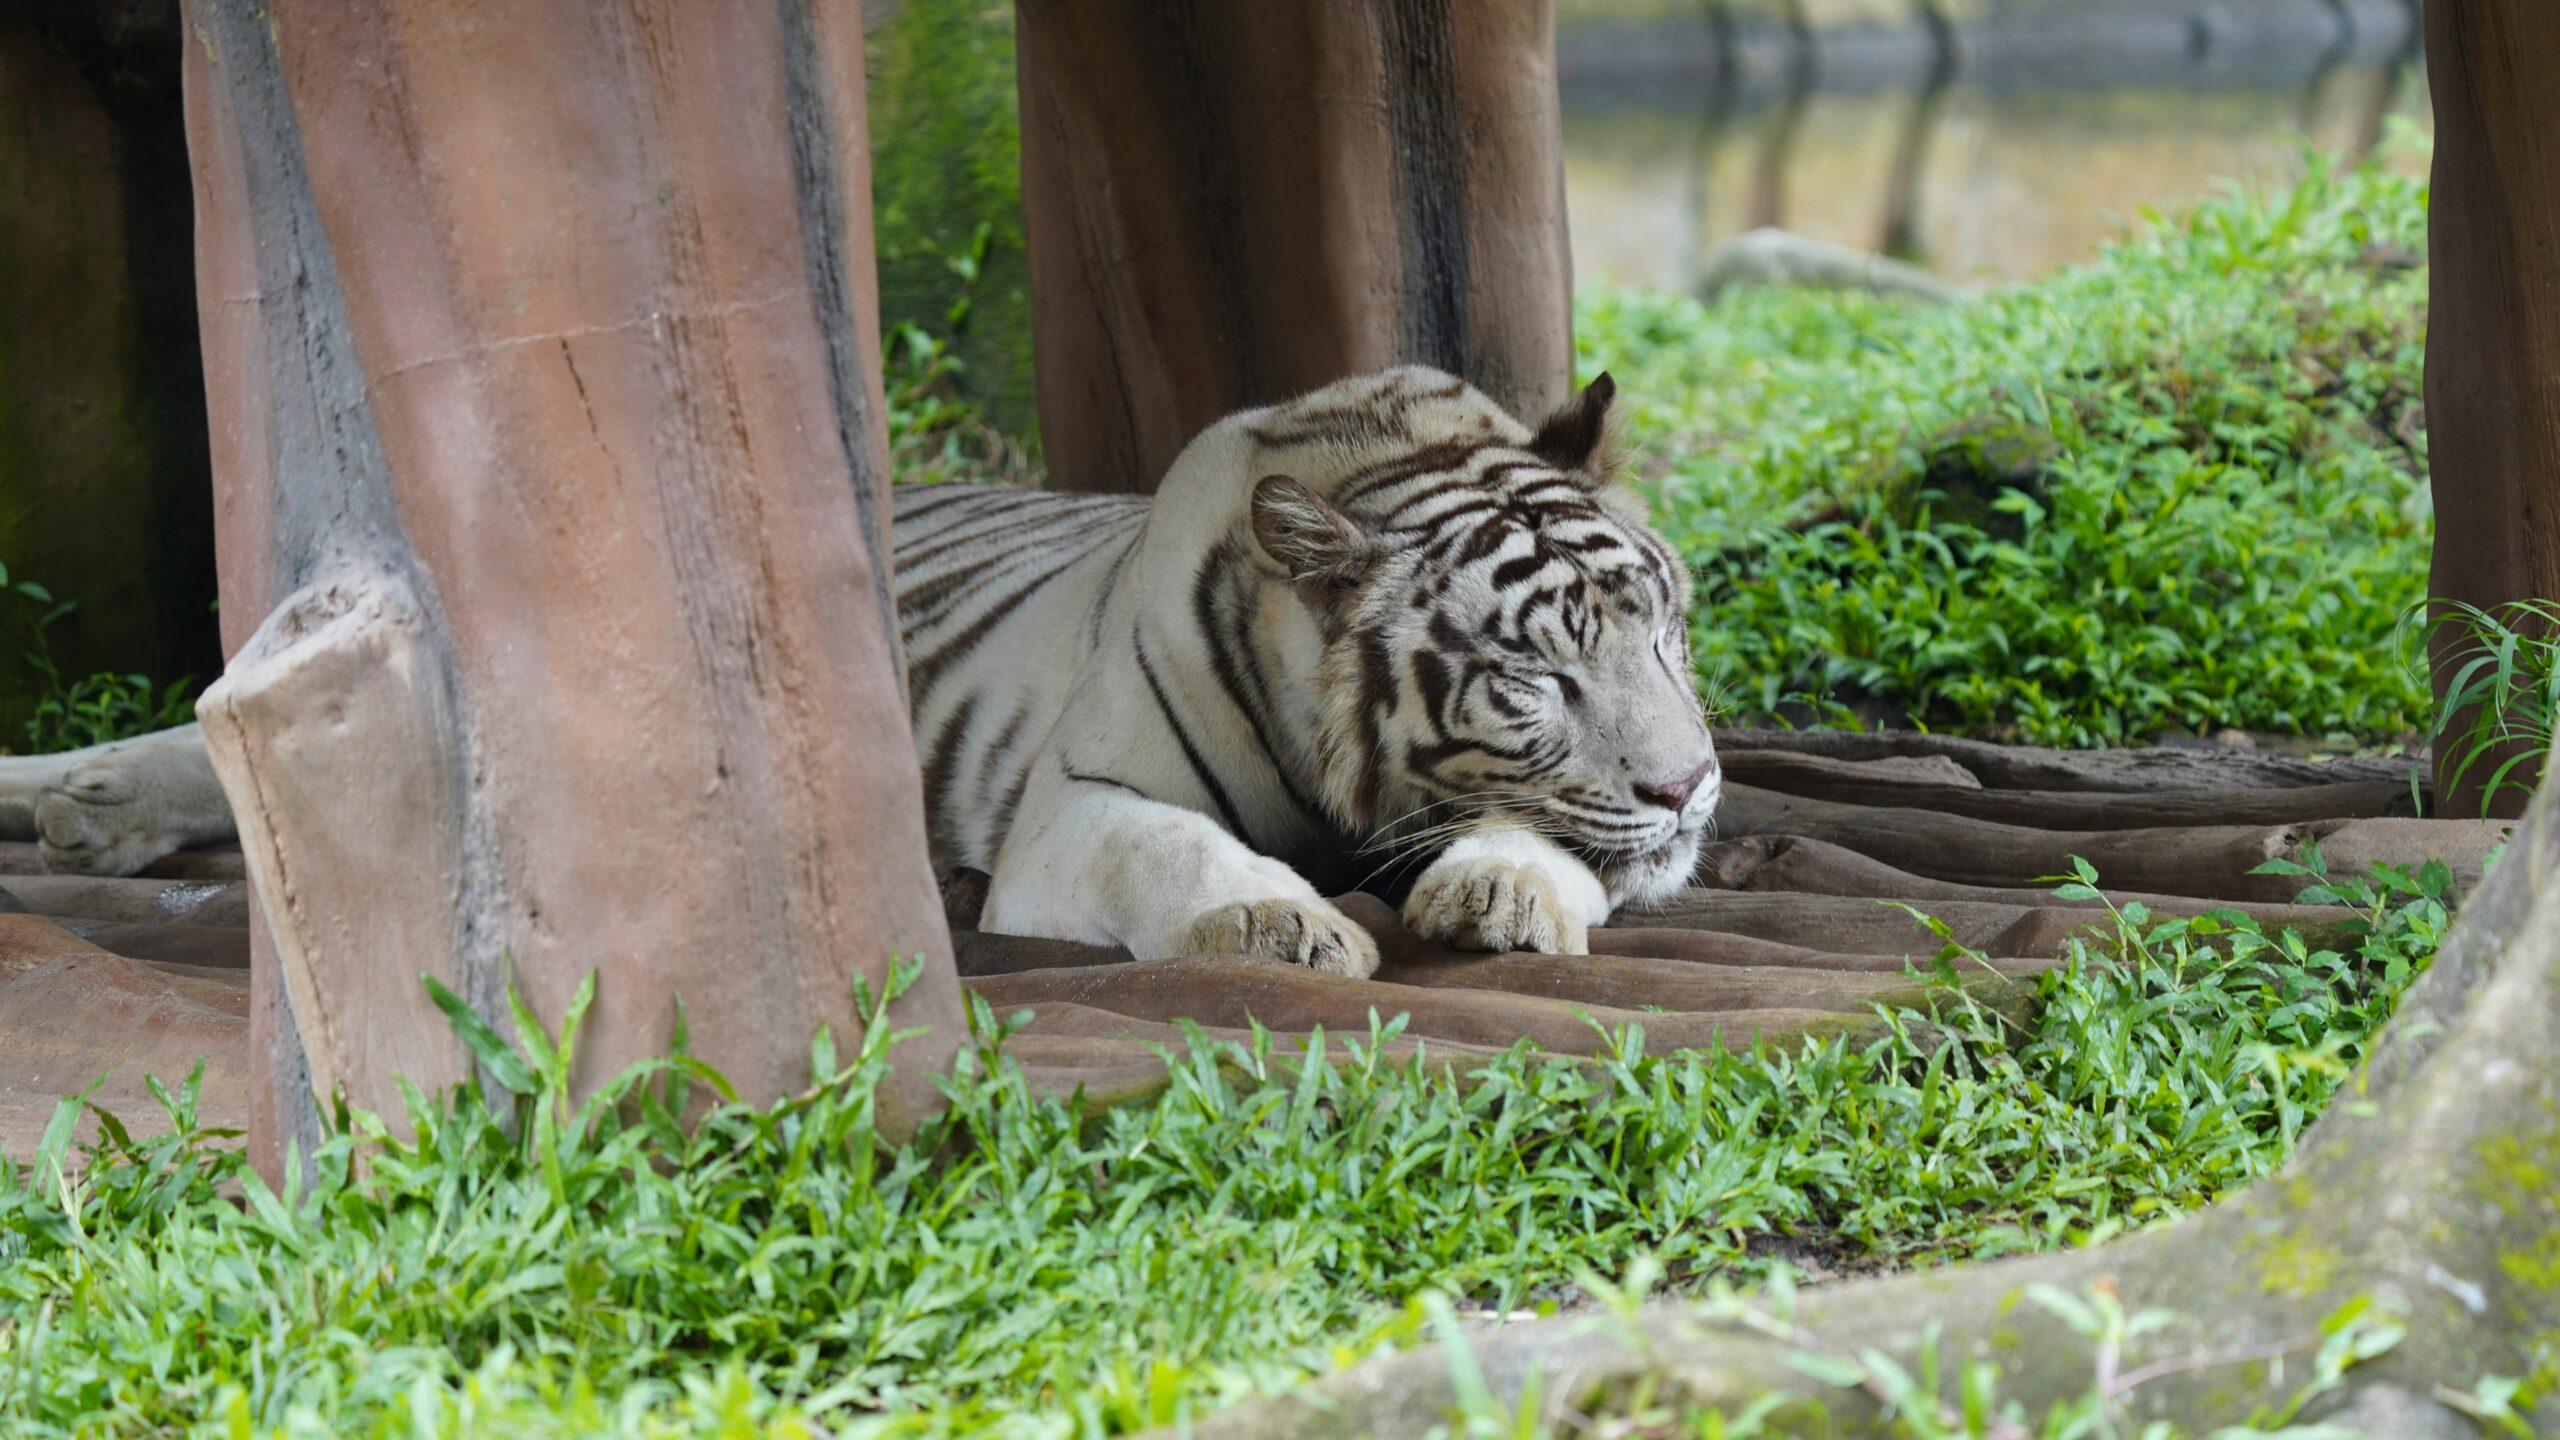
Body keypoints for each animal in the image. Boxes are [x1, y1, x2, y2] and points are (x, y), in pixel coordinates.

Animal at [0, 367, 1720, 979]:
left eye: (1660, 625)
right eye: (1532, 679)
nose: (1698, 784)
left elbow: (1550, 849)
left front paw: (1501, 891)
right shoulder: (1078, 804)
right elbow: (1180, 852)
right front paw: (1273, 922)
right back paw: (74, 798)